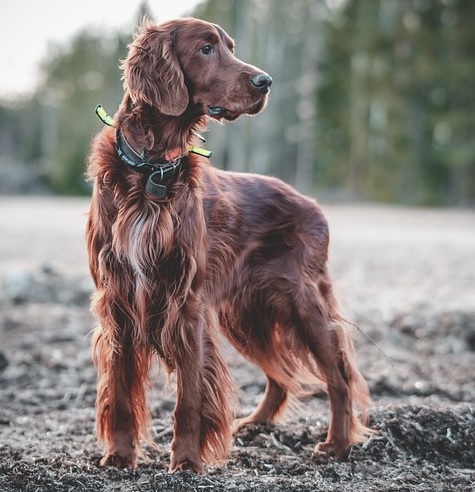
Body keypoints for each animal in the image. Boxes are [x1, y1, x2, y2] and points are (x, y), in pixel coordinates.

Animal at [86, 18, 372, 472]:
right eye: (206, 49)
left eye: (230, 48)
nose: (265, 81)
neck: (153, 170)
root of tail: (312, 205)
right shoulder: (118, 299)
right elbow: (120, 390)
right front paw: (118, 456)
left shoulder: (186, 301)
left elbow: (189, 396)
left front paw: (186, 462)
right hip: (247, 314)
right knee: (281, 376)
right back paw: (253, 424)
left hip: (302, 302)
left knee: (338, 376)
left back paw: (338, 443)